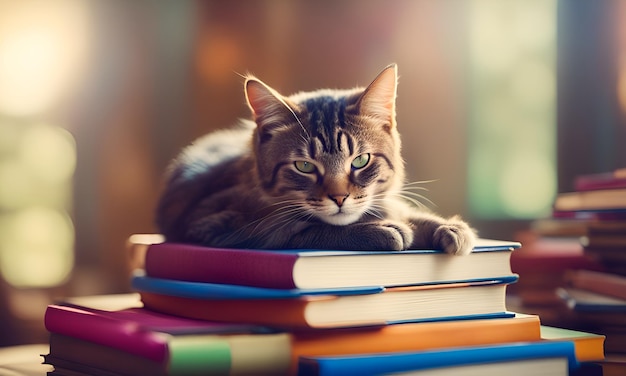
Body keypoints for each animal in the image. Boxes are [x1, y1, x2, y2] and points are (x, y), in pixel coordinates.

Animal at [155, 64, 472, 254]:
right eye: (304, 166)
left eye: (360, 160)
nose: (340, 197)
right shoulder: (215, 225)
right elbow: (305, 229)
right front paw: (380, 230)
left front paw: (446, 226)